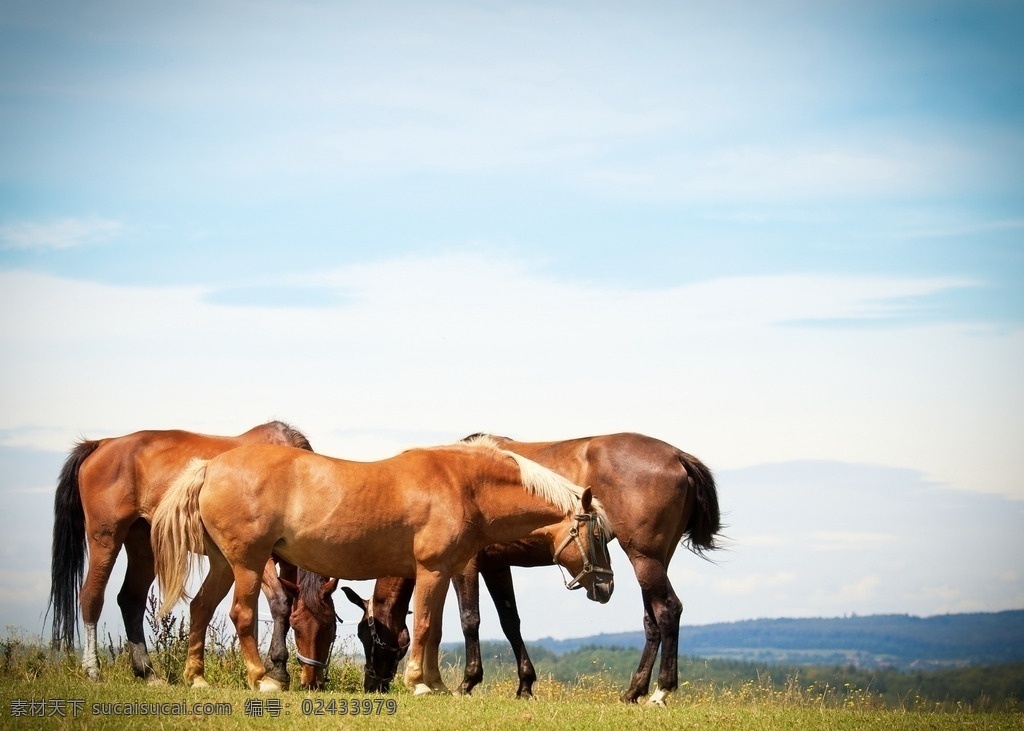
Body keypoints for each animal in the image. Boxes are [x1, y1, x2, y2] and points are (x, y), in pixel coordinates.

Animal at [47, 420, 318, 686]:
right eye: (298, 627)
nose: (313, 681)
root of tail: (102, 443)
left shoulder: (288, 561)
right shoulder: (256, 556)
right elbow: (280, 603)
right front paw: (278, 669)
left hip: (143, 545)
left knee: (131, 600)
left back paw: (148, 672)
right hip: (105, 538)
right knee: (91, 597)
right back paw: (93, 671)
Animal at [151, 437, 614, 694]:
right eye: (597, 535)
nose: (606, 587)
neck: (463, 485)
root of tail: (210, 467)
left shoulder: (441, 572)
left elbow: (434, 629)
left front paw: (437, 683)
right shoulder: (431, 570)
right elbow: (425, 626)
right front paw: (419, 683)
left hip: (223, 564)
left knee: (200, 608)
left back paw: (197, 678)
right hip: (247, 563)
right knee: (241, 614)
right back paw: (262, 679)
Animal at [314, 433, 720, 706]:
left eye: (368, 636)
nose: (372, 685)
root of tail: (678, 455)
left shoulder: (466, 567)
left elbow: (470, 620)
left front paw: (467, 683)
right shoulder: (497, 566)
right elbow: (511, 622)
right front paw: (525, 685)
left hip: (645, 558)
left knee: (668, 611)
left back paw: (661, 691)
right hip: (654, 561)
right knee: (652, 620)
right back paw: (633, 690)